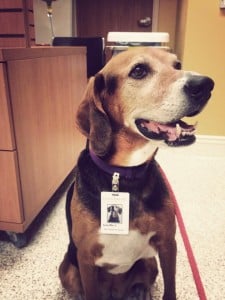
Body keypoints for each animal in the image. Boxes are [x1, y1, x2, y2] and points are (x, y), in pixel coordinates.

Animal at [59, 47, 214, 300]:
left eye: (177, 65)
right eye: (139, 70)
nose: (205, 84)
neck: (124, 176)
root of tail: (115, 292)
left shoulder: (168, 243)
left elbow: (170, 289)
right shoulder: (86, 257)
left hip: (149, 262)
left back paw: (140, 292)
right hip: (67, 269)